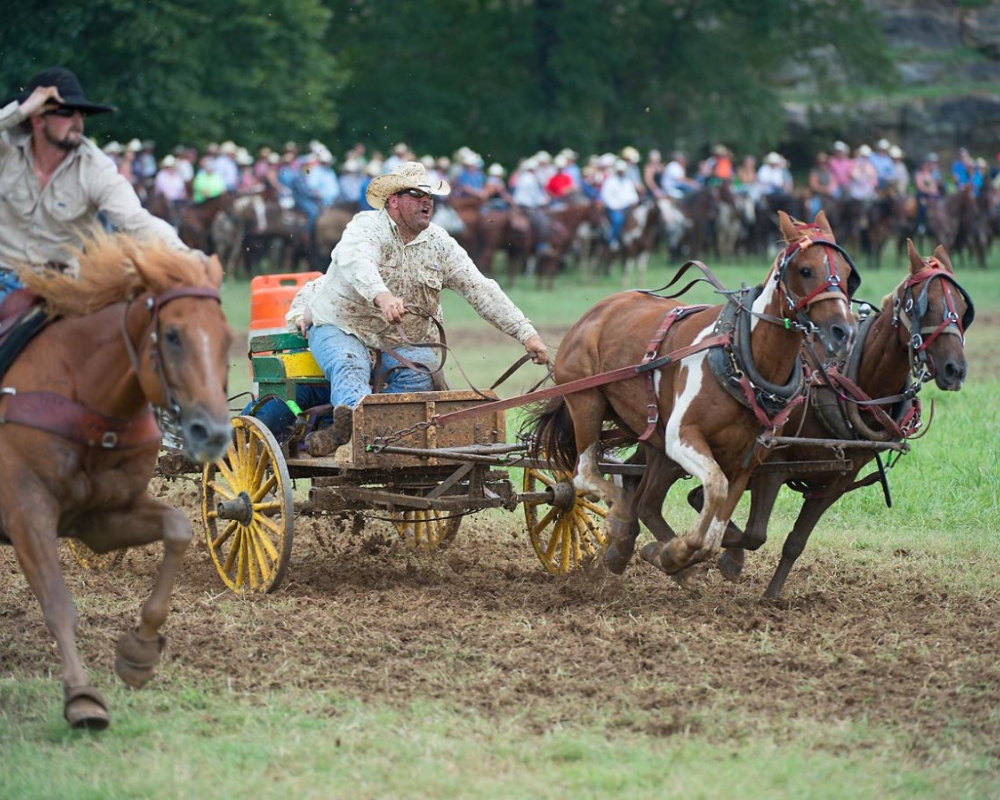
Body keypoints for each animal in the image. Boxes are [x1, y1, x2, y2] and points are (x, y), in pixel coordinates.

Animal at [0, 233, 232, 732]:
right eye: (172, 335)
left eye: (227, 338)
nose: (214, 432)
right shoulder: (27, 513)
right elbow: (57, 603)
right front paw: (82, 697)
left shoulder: (101, 520)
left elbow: (179, 530)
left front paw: (139, 653)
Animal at [524, 209, 860, 580]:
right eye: (805, 270)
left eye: (848, 274)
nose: (844, 331)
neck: (740, 357)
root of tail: (597, 310)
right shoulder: (683, 437)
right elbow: (714, 487)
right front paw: (676, 551)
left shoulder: (747, 460)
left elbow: (715, 530)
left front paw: (669, 555)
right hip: (587, 401)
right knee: (587, 473)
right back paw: (621, 520)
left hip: (653, 439)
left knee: (646, 500)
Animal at [712, 241, 976, 596]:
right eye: (924, 304)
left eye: (962, 308)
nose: (955, 370)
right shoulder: (774, 465)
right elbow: (753, 533)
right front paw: (729, 556)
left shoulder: (836, 482)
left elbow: (794, 542)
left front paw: (771, 595)